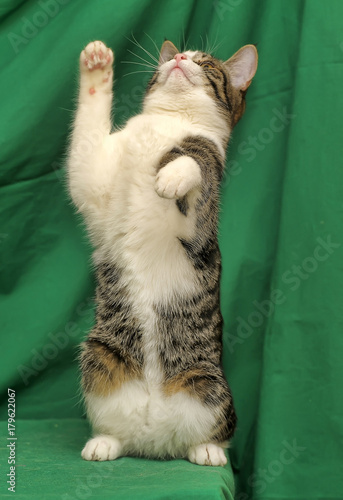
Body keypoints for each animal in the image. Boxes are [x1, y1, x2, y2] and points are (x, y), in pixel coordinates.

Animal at [68, 38, 258, 464]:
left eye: (207, 63)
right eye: (177, 54)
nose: (180, 58)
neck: (166, 123)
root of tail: (157, 440)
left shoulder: (198, 220)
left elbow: (196, 160)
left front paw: (172, 175)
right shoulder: (96, 186)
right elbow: (84, 150)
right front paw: (96, 65)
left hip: (209, 383)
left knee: (216, 430)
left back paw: (208, 451)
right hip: (100, 357)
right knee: (117, 425)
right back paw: (105, 442)